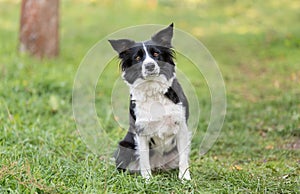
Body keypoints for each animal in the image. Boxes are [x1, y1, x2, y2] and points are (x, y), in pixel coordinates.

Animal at [109, 23, 191, 180]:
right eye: (137, 58)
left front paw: (185, 178)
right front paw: (147, 180)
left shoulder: (182, 126)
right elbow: (144, 159)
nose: (150, 66)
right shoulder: (141, 131)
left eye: (156, 54)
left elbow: (184, 158)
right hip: (124, 146)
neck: (153, 90)